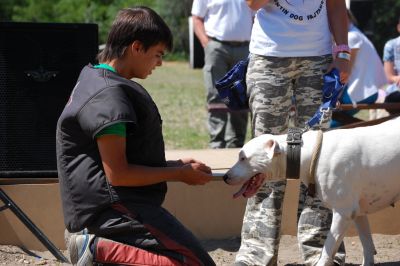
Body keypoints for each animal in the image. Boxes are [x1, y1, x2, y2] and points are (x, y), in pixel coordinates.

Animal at [223, 117, 400, 266]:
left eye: (243, 158)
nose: (225, 177)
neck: (307, 154)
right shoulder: (358, 212)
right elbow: (367, 243)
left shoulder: (343, 213)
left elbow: (327, 250)